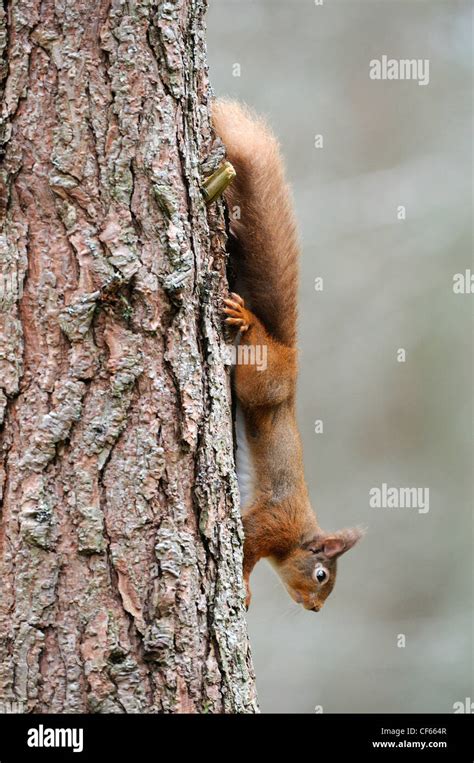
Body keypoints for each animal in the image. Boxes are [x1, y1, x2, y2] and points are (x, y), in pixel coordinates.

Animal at [213, 103, 364, 616]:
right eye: (321, 575)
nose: (314, 609)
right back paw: (245, 317)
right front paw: (244, 589)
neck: (299, 532)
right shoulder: (270, 522)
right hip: (263, 382)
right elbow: (245, 551)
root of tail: (290, 356)